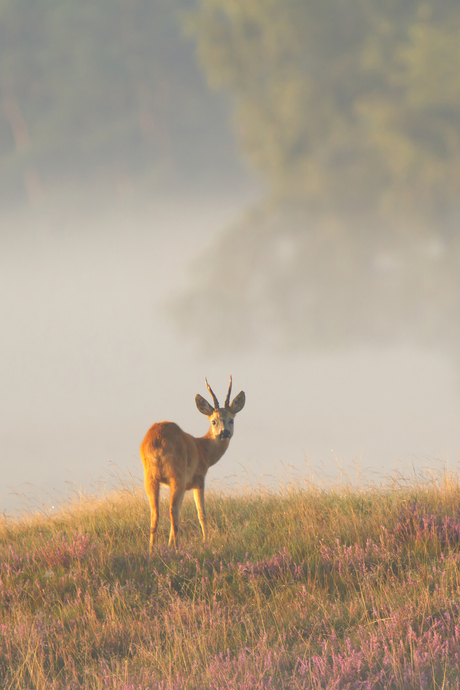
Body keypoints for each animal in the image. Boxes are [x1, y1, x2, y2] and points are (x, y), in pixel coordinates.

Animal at [140, 374, 246, 552]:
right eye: (213, 421)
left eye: (231, 420)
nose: (224, 433)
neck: (203, 448)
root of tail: (157, 440)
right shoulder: (198, 479)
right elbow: (201, 513)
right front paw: (205, 540)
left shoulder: (181, 485)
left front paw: (168, 544)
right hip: (177, 474)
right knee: (172, 510)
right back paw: (177, 548)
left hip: (151, 477)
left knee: (155, 512)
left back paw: (152, 549)